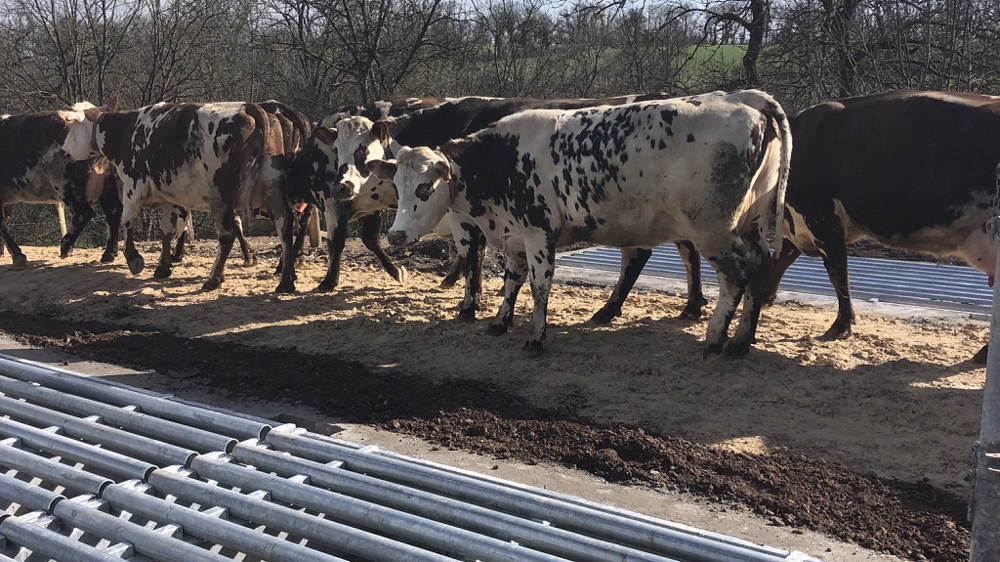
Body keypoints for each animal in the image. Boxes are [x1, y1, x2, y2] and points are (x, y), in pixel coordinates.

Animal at [0, 100, 122, 266]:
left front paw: (18, 255)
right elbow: (4, 223)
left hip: (65, 184)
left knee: (84, 213)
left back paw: (66, 246)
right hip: (106, 183)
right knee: (114, 212)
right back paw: (108, 253)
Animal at [60, 101, 299, 293]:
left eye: (70, 127)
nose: (63, 150)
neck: (126, 131)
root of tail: (249, 107)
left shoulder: (133, 187)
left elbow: (126, 221)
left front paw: (135, 259)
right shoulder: (173, 197)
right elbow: (167, 230)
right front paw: (163, 266)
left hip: (220, 197)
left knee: (228, 233)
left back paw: (214, 279)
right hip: (273, 188)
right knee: (285, 226)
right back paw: (286, 281)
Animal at [373, 90, 791, 356]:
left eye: (425, 187)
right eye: (397, 184)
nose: (396, 234)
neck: (504, 156)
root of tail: (745, 97)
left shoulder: (538, 233)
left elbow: (539, 287)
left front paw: (536, 338)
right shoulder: (515, 236)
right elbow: (512, 281)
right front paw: (500, 322)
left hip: (712, 229)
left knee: (736, 275)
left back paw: (717, 336)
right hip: (750, 223)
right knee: (759, 268)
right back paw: (741, 341)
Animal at [763, 90, 1000, 362]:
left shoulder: (823, 221)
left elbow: (838, 274)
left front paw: (841, 326)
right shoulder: (798, 226)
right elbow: (780, 259)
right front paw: (763, 297)